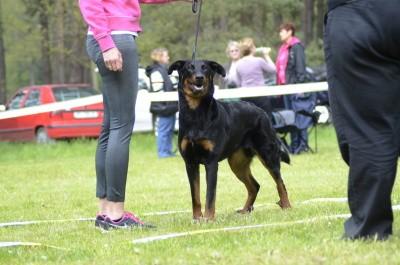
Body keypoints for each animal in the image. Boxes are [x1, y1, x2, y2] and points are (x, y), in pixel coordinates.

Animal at [168, 60, 290, 220]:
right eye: (189, 68)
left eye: (205, 68)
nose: (200, 77)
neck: (195, 114)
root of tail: (262, 112)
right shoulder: (190, 162)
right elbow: (196, 196)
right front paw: (197, 218)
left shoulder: (211, 162)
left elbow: (210, 195)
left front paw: (208, 218)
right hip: (237, 163)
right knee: (254, 185)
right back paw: (245, 211)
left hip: (267, 155)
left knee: (280, 182)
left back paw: (286, 206)